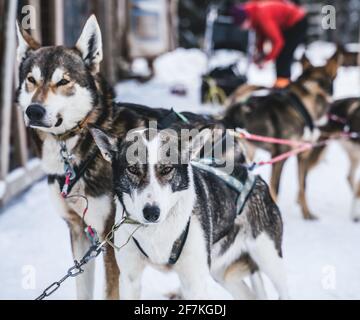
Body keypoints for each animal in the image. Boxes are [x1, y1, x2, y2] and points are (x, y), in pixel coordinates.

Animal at [91, 125, 288, 300]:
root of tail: (254, 177)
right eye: (132, 169)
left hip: (269, 259)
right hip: (221, 272)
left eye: (167, 169)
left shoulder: (194, 282)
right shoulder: (130, 279)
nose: (151, 212)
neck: (157, 232)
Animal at [225, 50, 344, 220]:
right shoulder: (279, 156)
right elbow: (276, 187)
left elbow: (303, 186)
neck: (303, 107)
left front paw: (307, 213)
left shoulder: (303, 155)